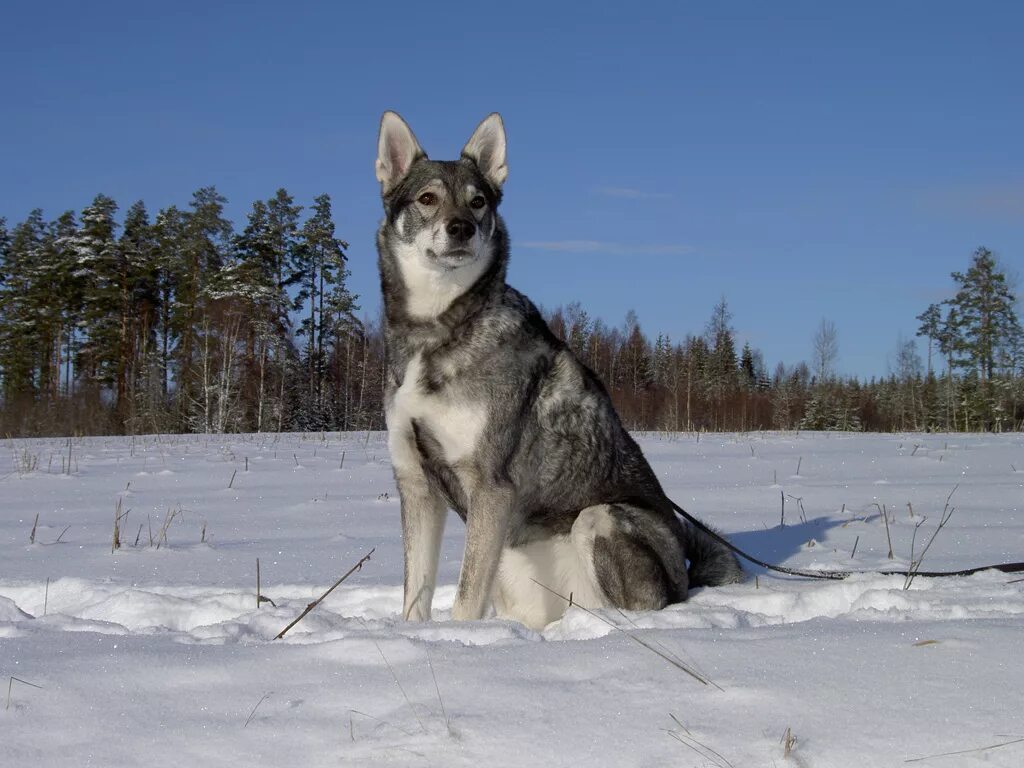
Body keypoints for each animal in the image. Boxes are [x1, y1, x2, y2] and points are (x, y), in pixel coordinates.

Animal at [376, 112, 745, 630]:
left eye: (478, 201)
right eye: (427, 199)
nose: (462, 227)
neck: (437, 327)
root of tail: (685, 579)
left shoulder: (490, 487)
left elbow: (466, 601)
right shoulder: (415, 482)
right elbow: (416, 595)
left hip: (599, 518)